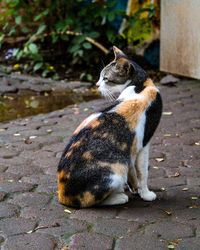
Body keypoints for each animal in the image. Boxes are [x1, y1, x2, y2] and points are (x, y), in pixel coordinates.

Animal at [56, 46, 162, 208]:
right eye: (101, 77)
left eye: (105, 78)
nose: (97, 84)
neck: (141, 84)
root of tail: (62, 196)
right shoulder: (144, 144)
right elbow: (143, 172)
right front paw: (146, 194)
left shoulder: (131, 149)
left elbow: (133, 170)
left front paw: (135, 188)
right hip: (116, 171)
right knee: (92, 202)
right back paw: (119, 197)